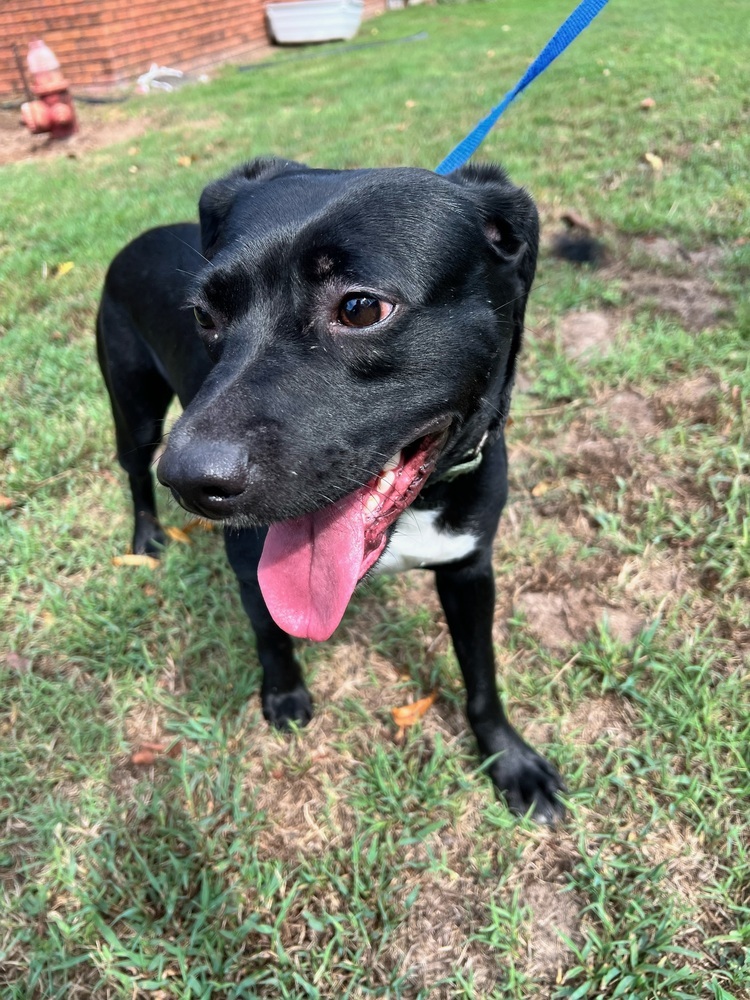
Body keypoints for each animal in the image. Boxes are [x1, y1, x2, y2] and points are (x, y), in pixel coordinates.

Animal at [97, 156, 564, 824]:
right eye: (204, 317)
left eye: (362, 308)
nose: (189, 480)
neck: (416, 510)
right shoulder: (249, 561)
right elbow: (270, 634)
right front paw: (285, 694)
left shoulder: (470, 569)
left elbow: (482, 675)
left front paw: (509, 759)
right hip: (133, 410)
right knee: (134, 471)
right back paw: (146, 537)